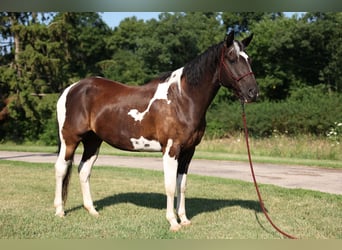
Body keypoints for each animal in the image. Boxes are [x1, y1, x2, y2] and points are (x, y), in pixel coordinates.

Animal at [53, 30, 258, 230]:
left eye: (249, 58)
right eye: (232, 58)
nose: (253, 92)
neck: (182, 99)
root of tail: (71, 89)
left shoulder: (188, 151)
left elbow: (181, 185)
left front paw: (184, 219)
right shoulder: (171, 150)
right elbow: (169, 185)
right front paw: (173, 222)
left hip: (93, 142)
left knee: (83, 170)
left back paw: (92, 210)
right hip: (70, 140)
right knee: (61, 168)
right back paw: (59, 211)